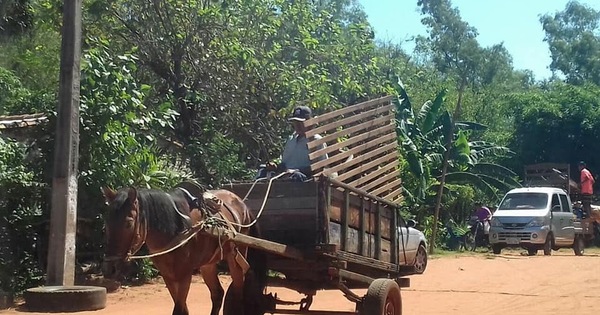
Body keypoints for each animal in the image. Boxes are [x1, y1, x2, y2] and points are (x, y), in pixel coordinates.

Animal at [102, 185, 266, 315]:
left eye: (128, 223)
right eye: (107, 222)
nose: (109, 268)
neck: (175, 230)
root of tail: (242, 204)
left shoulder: (184, 275)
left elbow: (179, 310)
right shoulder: (168, 276)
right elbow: (182, 309)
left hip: (236, 257)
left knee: (238, 292)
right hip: (207, 264)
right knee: (217, 294)